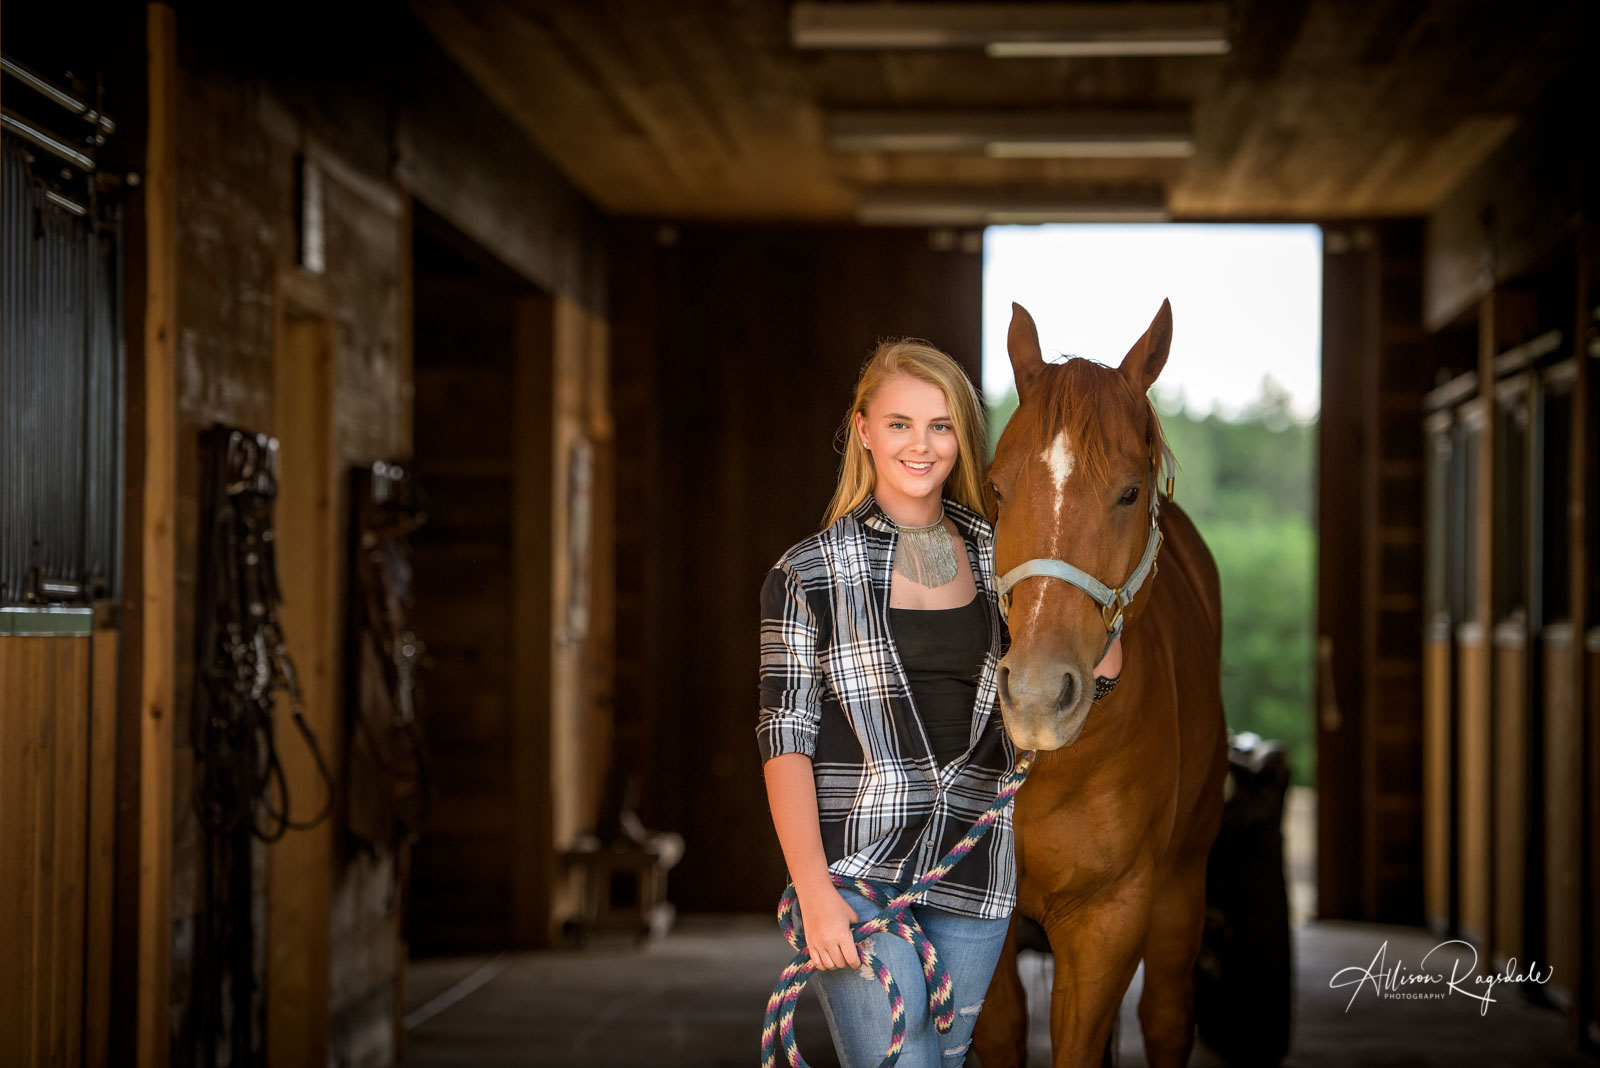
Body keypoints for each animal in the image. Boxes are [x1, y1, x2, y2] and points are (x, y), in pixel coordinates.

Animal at [966, 300, 1228, 1068]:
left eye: (1130, 493)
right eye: (997, 488)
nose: (1035, 695)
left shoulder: (1109, 917)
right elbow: (1000, 1031)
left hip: (1182, 886)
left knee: (1168, 1018)